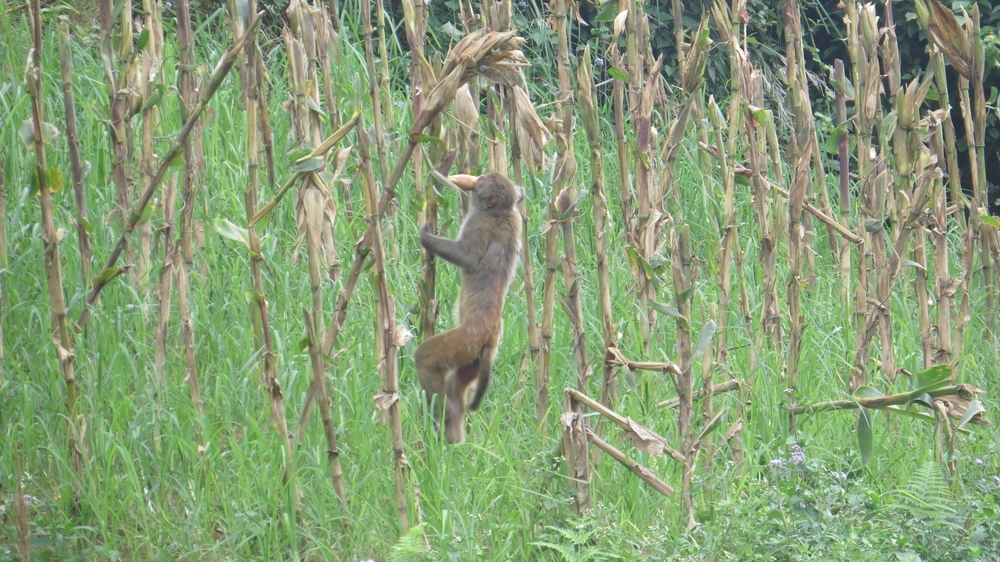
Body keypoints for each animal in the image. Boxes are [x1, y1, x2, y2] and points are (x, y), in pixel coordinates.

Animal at [412, 171, 524, 442]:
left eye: (484, 180)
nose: (479, 175)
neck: (500, 212)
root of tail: (490, 336)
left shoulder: (478, 223)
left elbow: (469, 258)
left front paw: (427, 236)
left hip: (463, 341)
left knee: (426, 359)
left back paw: (440, 416)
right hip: (473, 356)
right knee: (456, 383)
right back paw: (452, 430)